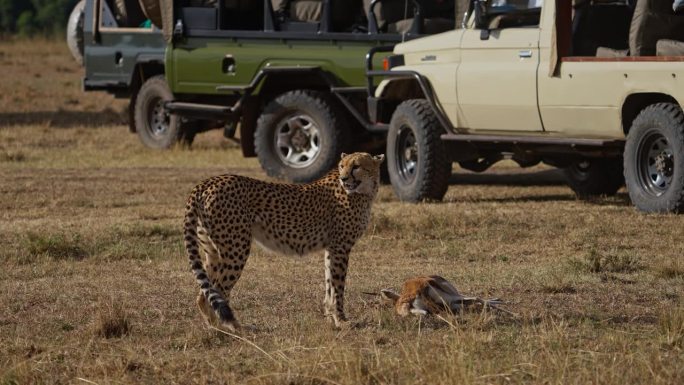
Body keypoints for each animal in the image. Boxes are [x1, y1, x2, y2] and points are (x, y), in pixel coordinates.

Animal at [182, 152, 384, 328]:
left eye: (356, 166)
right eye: (342, 166)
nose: (344, 178)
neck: (364, 191)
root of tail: (208, 181)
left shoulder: (331, 248)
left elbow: (329, 284)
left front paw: (330, 318)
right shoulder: (341, 247)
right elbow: (338, 287)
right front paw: (341, 320)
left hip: (213, 252)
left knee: (204, 295)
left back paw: (215, 327)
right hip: (236, 250)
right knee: (219, 291)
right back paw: (234, 327)